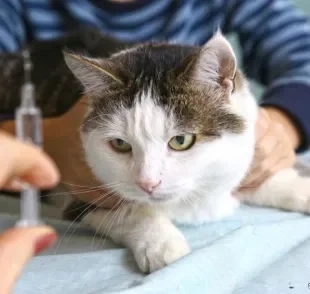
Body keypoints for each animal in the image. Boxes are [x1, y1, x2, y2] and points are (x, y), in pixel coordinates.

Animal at [64, 32, 310, 274]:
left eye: (181, 141)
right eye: (120, 144)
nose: (148, 184)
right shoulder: (81, 195)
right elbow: (131, 211)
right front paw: (161, 244)